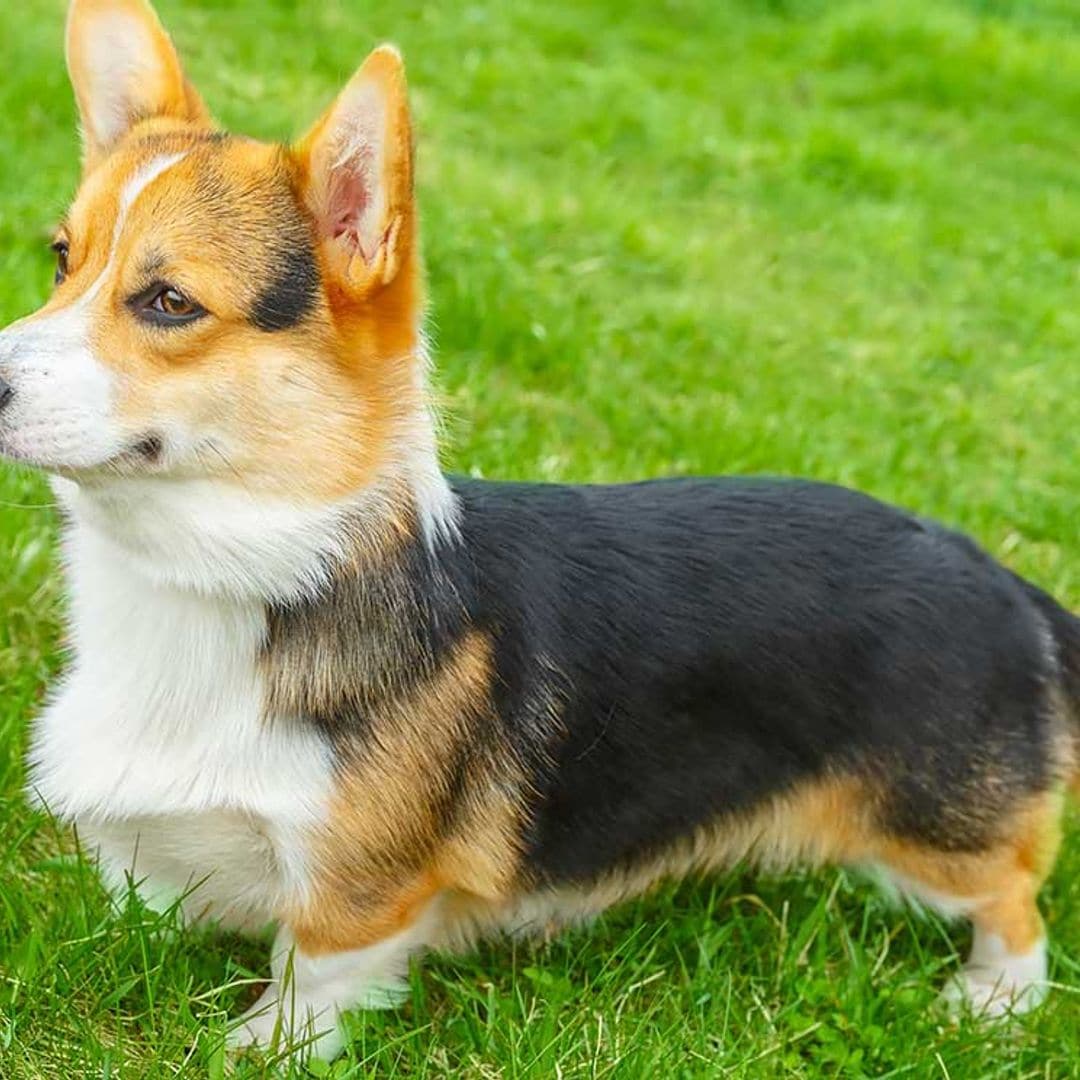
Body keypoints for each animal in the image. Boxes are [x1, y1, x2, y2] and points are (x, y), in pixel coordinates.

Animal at [2, 0, 1080, 1062]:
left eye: (170, 301)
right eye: (60, 258)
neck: (246, 575)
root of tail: (996, 575)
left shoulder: (358, 890)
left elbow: (314, 980)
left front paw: (257, 1046)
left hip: (935, 832)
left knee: (1017, 901)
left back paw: (992, 1003)